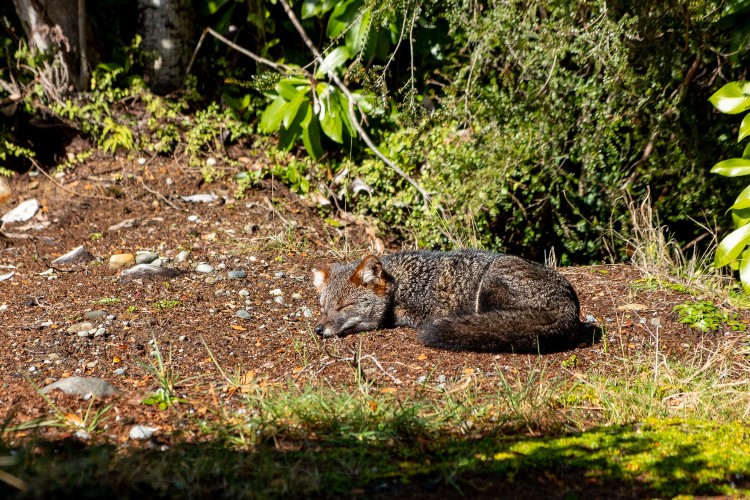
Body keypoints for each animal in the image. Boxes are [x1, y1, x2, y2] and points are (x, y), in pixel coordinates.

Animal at [312, 249, 580, 352]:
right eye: (323, 309)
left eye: (345, 306)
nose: (319, 329)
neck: (402, 283)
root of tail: (571, 307)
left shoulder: (426, 310)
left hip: (487, 286)